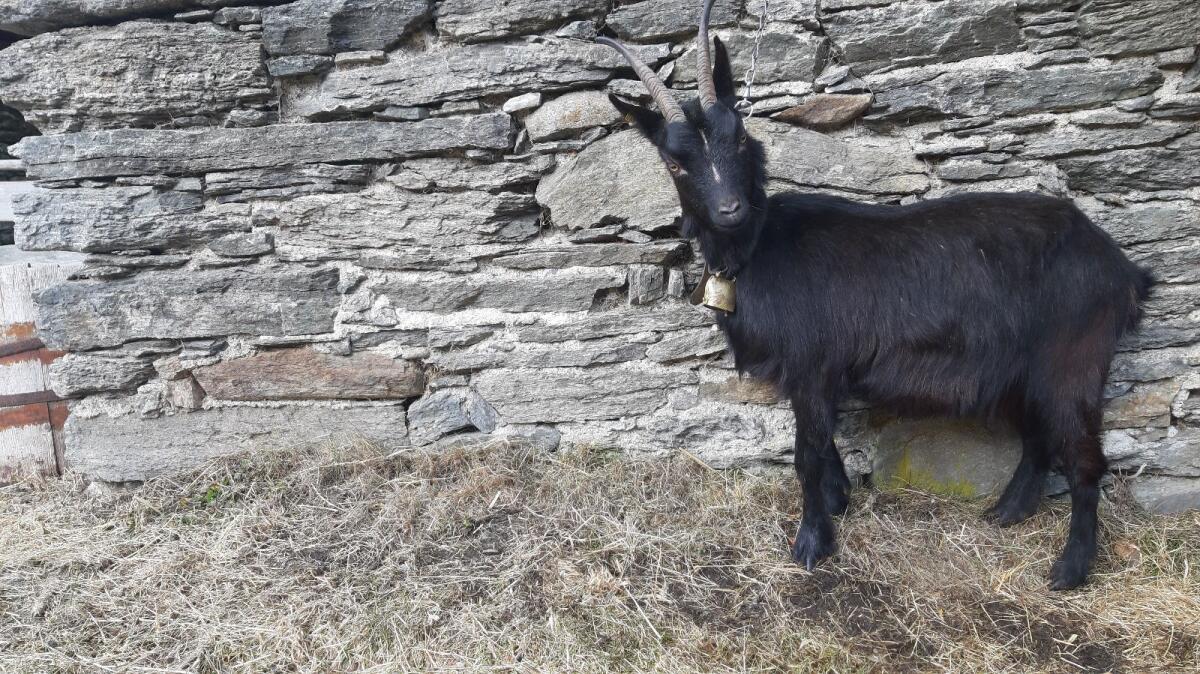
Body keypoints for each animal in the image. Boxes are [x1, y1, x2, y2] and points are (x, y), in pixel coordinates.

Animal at [598, 0, 1154, 590]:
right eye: (674, 162)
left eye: (741, 137)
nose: (730, 209)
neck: (760, 246)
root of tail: (1118, 267)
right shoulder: (816, 371)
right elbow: (824, 446)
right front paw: (839, 501)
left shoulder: (812, 362)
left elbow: (807, 454)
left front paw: (811, 544)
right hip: (1024, 368)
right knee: (1039, 438)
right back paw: (1008, 512)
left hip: (1073, 359)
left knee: (1085, 459)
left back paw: (1069, 568)